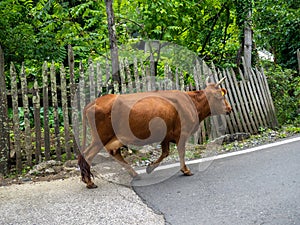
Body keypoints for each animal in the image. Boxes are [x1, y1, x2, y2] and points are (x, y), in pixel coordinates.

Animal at [78, 77, 231, 188]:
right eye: (220, 96)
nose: (229, 108)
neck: (192, 102)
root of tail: (94, 102)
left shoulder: (166, 136)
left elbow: (165, 153)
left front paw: (150, 167)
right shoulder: (182, 133)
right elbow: (181, 152)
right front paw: (186, 170)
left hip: (113, 138)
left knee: (114, 153)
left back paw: (134, 174)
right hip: (101, 137)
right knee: (87, 155)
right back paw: (89, 182)